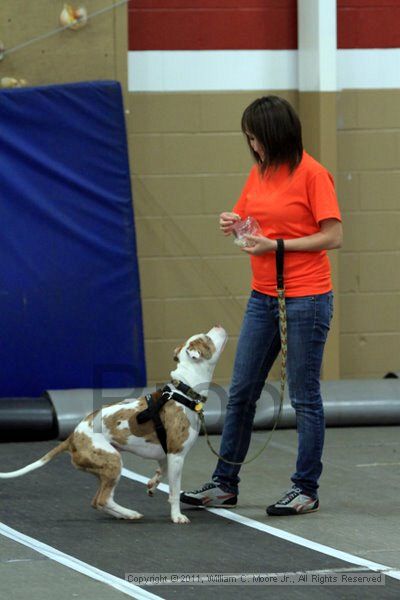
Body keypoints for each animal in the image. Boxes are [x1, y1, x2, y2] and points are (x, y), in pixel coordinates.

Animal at [0, 326, 227, 524]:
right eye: (207, 338)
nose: (218, 325)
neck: (184, 391)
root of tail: (72, 437)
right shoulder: (177, 455)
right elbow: (174, 492)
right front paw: (176, 516)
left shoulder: (166, 455)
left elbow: (161, 473)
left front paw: (153, 484)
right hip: (113, 462)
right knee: (102, 500)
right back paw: (129, 513)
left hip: (104, 469)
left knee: (97, 501)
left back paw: (125, 514)